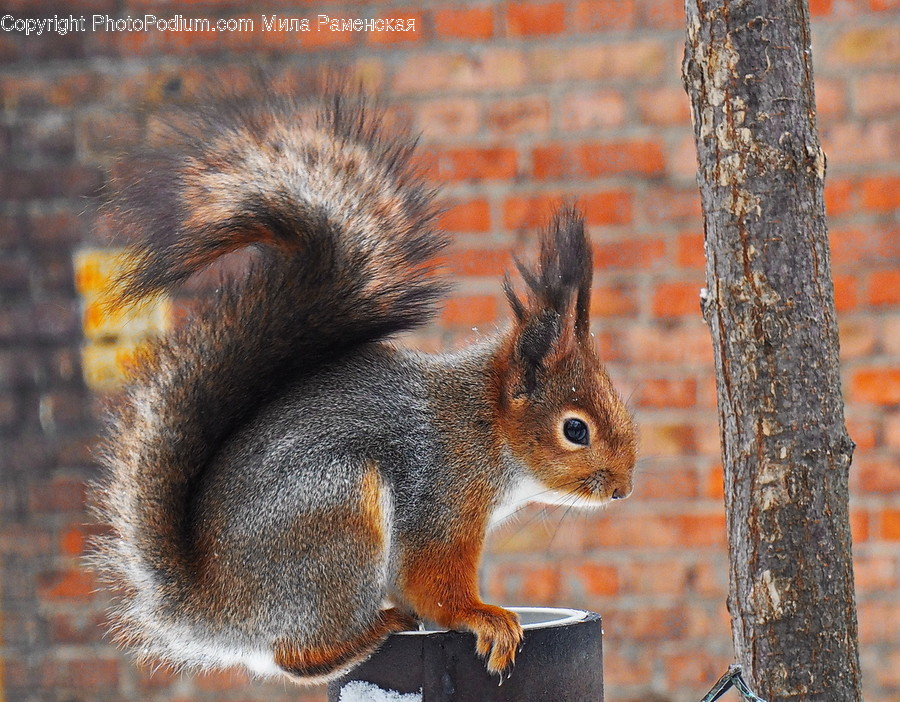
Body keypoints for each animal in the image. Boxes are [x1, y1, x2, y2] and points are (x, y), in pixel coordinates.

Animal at [90, 89, 637, 685]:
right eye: (575, 430)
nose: (622, 489)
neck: (481, 427)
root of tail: (218, 611)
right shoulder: (439, 500)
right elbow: (434, 585)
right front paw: (484, 617)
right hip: (338, 511)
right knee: (297, 657)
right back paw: (370, 631)